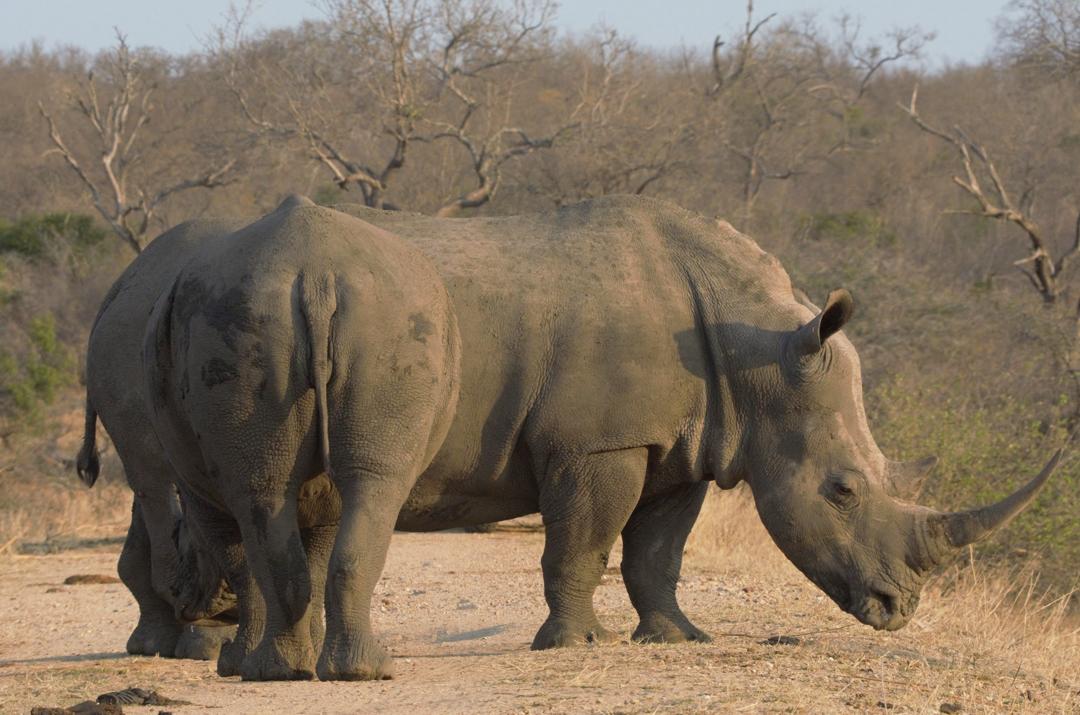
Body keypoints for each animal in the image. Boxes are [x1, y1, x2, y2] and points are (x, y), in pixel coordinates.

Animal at [141, 194, 1054, 682]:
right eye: (843, 490)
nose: (899, 609)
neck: (761, 353)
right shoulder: (600, 441)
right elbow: (582, 541)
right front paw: (575, 642)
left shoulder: (683, 442)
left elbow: (657, 550)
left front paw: (678, 638)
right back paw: (345, 668)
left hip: (223, 310)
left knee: (247, 488)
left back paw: (264, 669)